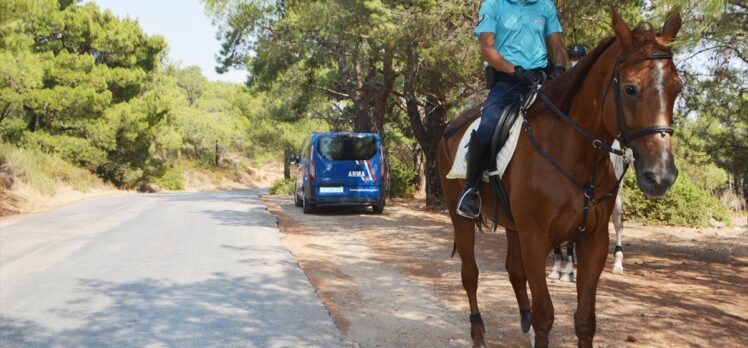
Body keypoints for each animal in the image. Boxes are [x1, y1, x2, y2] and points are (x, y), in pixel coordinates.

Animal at [438, 8, 684, 348]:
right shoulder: (535, 238)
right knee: (470, 275)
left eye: (677, 88)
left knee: (513, 271)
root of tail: (451, 127)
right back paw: (478, 334)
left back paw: (523, 322)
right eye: (630, 89)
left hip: (513, 226)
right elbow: (545, 315)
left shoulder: (593, 240)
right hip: (460, 218)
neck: (572, 150)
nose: (661, 176)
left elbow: (585, 320)